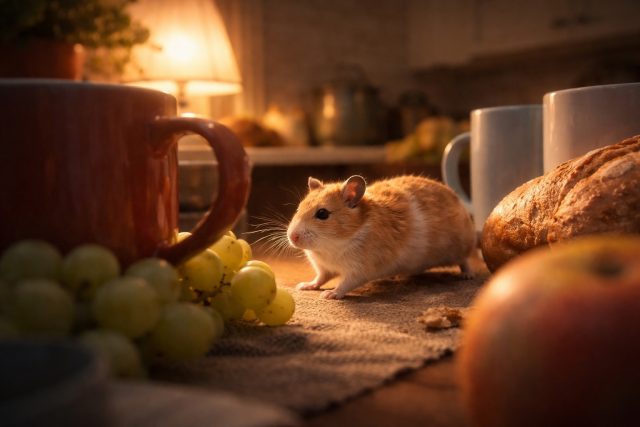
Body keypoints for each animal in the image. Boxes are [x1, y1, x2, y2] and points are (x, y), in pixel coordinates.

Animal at [287, 175, 476, 299]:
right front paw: (304, 286)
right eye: (298, 208)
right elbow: (320, 278)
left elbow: (345, 284)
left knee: (465, 261)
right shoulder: (323, 267)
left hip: (460, 249)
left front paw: (329, 294)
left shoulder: (359, 269)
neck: (332, 245)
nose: (292, 237)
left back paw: (468, 276)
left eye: (323, 214)